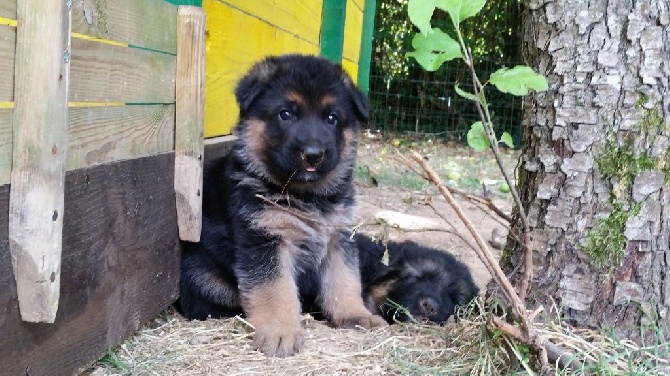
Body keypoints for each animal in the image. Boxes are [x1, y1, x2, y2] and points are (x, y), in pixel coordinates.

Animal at [178, 55, 388, 358]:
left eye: (332, 118)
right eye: (285, 114)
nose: (313, 155)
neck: (306, 196)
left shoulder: (337, 237)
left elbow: (344, 281)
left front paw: (354, 314)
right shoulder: (265, 240)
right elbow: (275, 291)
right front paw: (280, 332)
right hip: (203, 278)